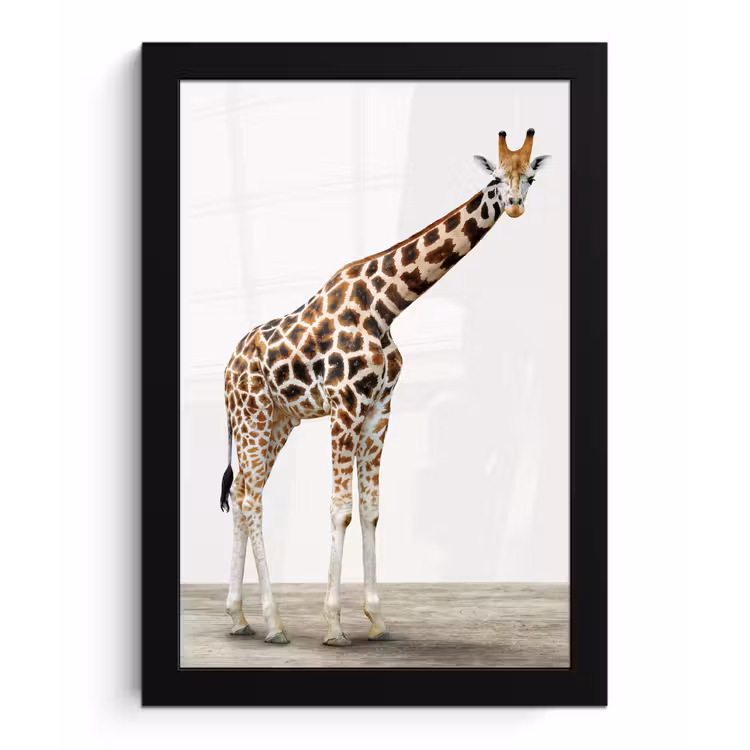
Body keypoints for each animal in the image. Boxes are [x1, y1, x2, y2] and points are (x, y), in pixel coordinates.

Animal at [220, 128, 550, 646]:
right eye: (496, 177)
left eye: (530, 177)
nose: (515, 205)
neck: (386, 305)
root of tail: (228, 368)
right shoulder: (344, 407)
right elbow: (340, 510)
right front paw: (335, 625)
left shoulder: (379, 409)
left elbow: (372, 509)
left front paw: (376, 619)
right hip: (251, 416)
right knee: (252, 499)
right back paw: (273, 623)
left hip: (277, 421)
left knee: (240, 496)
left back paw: (239, 617)